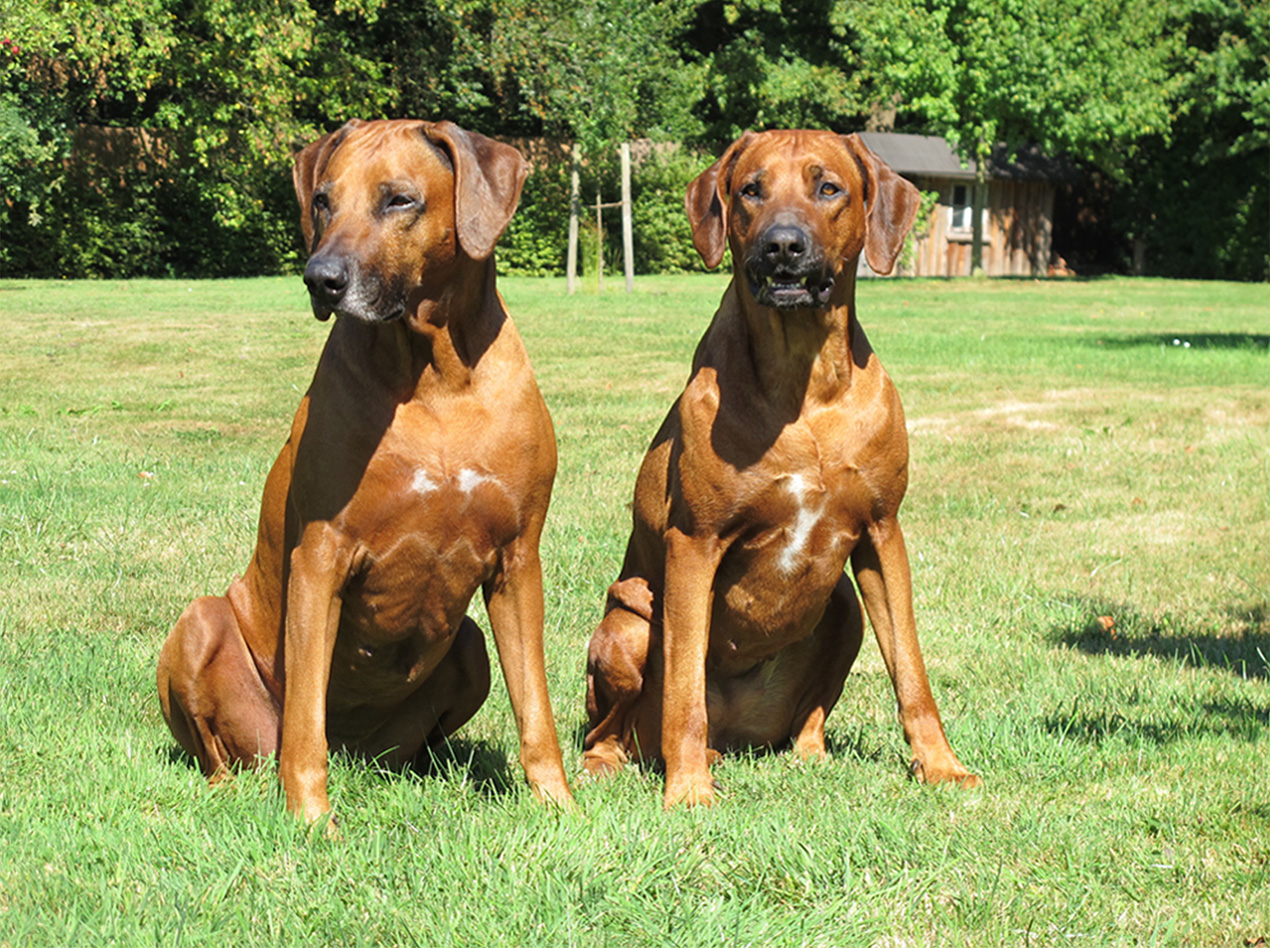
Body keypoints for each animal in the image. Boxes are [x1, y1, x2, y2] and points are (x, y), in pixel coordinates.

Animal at [157, 119, 574, 827]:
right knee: (233, 748)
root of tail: (358, 750)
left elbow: (536, 707)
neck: (435, 379)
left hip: (468, 648)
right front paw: (309, 817)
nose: (319, 278)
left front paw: (559, 805)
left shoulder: (518, 560)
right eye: (323, 200)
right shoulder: (320, 555)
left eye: (398, 200)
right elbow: (304, 721)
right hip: (201, 624)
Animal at [582, 129, 979, 807]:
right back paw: (620, 762)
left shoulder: (883, 532)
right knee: (619, 727)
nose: (783, 244)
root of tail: (739, 733)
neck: (805, 384)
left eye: (829, 188)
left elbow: (912, 671)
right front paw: (688, 790)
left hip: (843, 608)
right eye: (751, 190)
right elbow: (683, 688)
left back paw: (808, 753)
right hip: (628, 621)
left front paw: (940, 766)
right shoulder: (695, 544)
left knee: (808, 712)